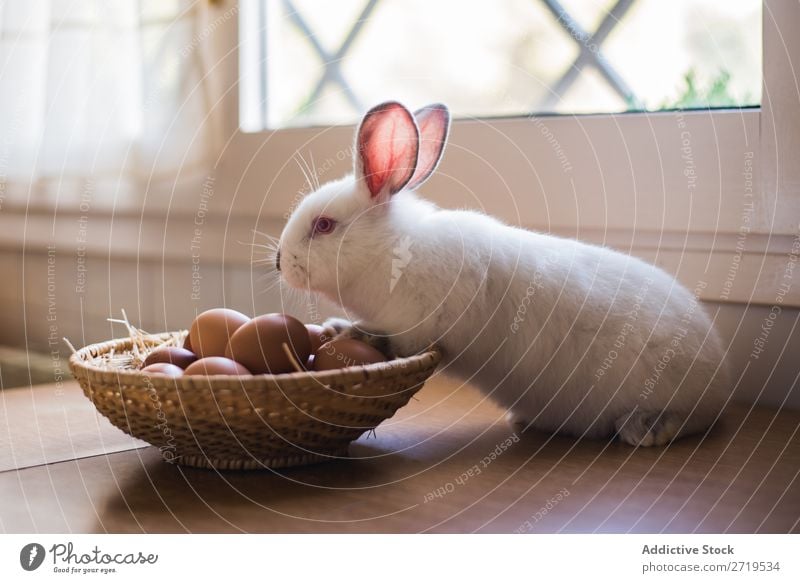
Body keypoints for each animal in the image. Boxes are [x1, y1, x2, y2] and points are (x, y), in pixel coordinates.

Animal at [276, 101, 732, 448]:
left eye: (324, 226)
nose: (280, 261)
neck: (391, 251)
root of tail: (720, 377)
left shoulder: (422, 328)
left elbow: (392, 342)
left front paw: (351, 333)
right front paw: (335, 327)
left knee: (690, 422)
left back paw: (646, 428)